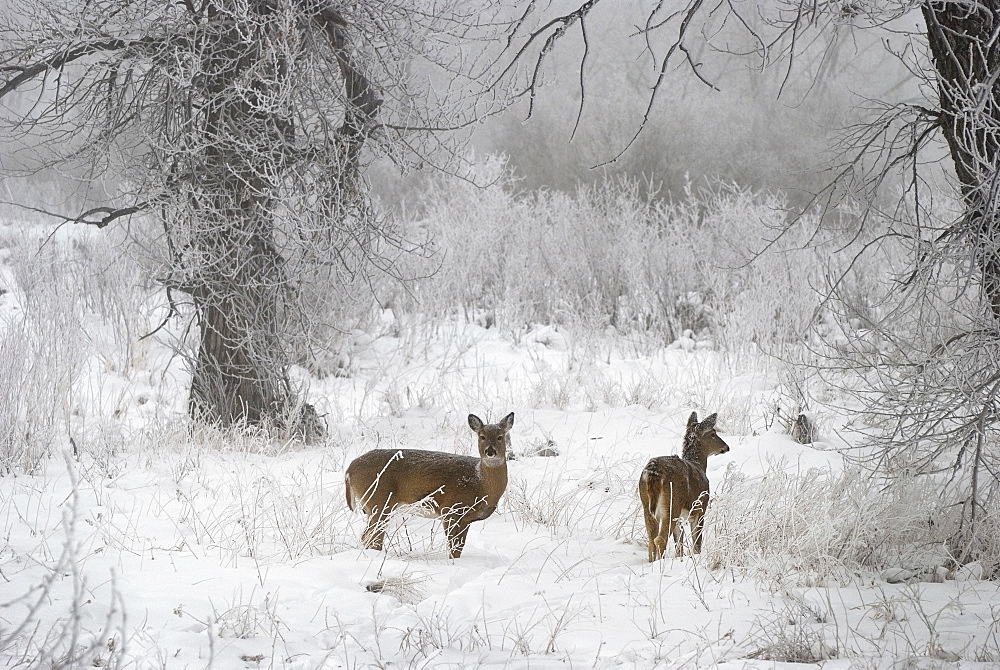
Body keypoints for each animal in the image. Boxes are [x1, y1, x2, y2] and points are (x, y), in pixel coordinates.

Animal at [346, 414, 516, 560]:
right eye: (482, 436)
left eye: (500, 437)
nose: (490, 451)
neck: (479, 483)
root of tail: (350, 469)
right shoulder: (450, 509)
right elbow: (453, 550)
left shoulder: (466, 519)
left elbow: (459, 549)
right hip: (379, 501)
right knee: (371, 538)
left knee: (368, 537)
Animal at [636, 414, 732, 560]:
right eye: (713, 433)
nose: (726, 447)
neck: (699, 465)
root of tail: (653, 470)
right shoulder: (700, 508)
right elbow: (697, 541)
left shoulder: (680, 518)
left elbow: (679, 544)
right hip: (671, 503)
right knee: (660, 538)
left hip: (646, 504)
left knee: (651, 538)